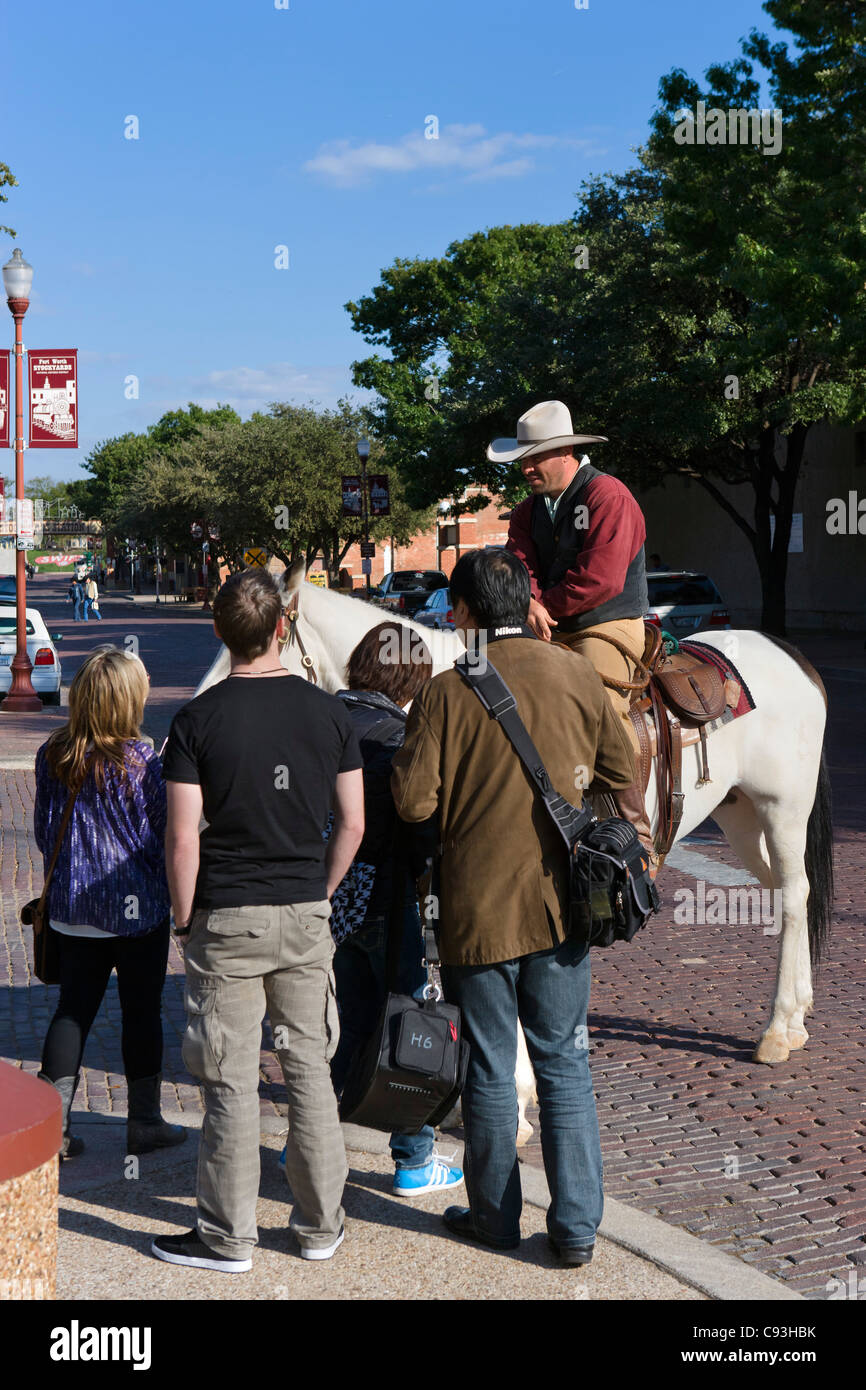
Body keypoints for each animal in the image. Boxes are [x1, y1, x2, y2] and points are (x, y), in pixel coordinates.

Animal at [195, 564, 834, 1139]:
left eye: (254, 651)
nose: (197, 724)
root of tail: (787, 655)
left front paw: (517, 1103)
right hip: (741, 815)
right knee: (789, 896)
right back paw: (799, 1014)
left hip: (781, 807)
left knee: (795, 896)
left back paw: (778, 1027)